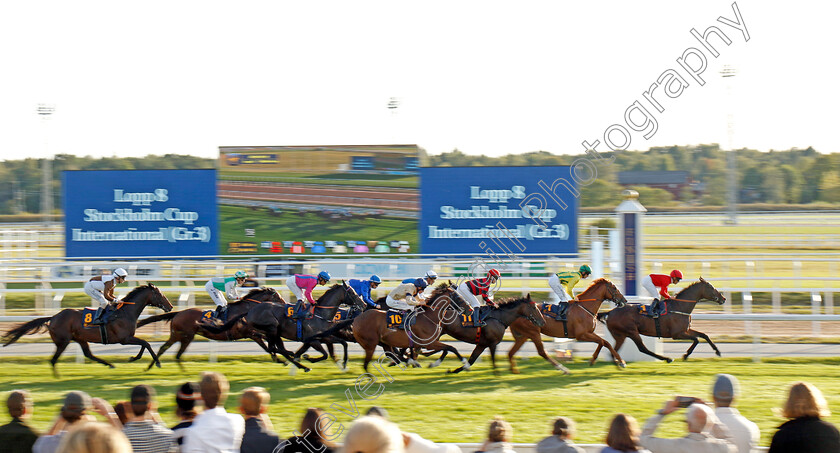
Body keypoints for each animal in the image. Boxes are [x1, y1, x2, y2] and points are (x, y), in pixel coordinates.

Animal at [1, 282, 172, 374]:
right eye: (160, 294)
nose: (170, 307)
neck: (124, 312)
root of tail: (53, 317)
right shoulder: (124, 338)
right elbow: (146, 343)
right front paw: (156, 362)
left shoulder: (127, 338)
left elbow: (144, 344)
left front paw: (134, 358)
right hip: (63, 341)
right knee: (55, 359)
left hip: (80, 339)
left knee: (88, 354)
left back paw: (109, 364)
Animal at [135, 288, 284, 370]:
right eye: (277, 296)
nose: (285, 304)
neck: (246, 311)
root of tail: (178, 313)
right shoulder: (250, 333)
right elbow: (266, 345)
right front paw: (281, 359)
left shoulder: (255, 332)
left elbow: (269, 343)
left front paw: (281, 357)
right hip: (184, 336)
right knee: (172, 351)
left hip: (177, 335)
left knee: (164, 348)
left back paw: (151, 367)